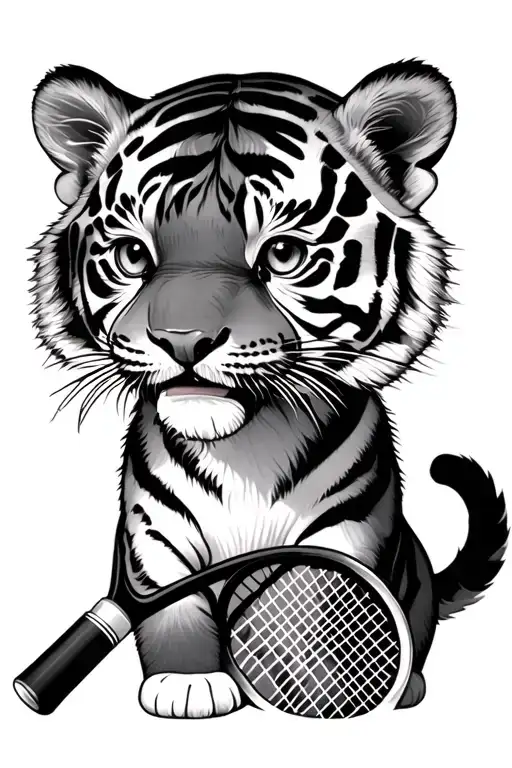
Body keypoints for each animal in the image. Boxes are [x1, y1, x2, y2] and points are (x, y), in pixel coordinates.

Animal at [31, 60, 507, 719]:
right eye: (132, 255)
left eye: (282, 253)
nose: (182, 340)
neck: (244, 448)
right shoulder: (151, 538)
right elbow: (171, 612)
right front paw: (186, 683)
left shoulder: (349, 528)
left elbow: (318, 610)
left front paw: (327, 692)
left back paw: (402, 684)